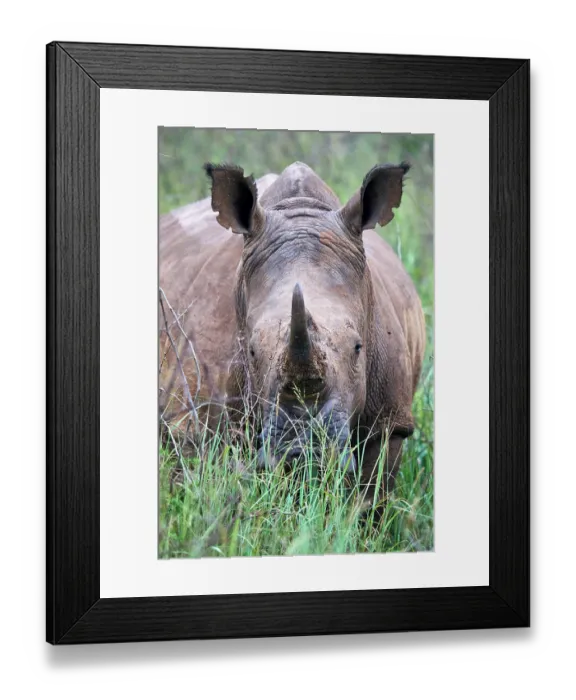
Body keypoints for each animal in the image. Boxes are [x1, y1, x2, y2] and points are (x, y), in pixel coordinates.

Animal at [159, 161, 426, 502]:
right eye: (251, 352)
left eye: (358, 347)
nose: (302, 450)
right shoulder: (193, 424)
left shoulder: (390, 423)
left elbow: (370, 497)